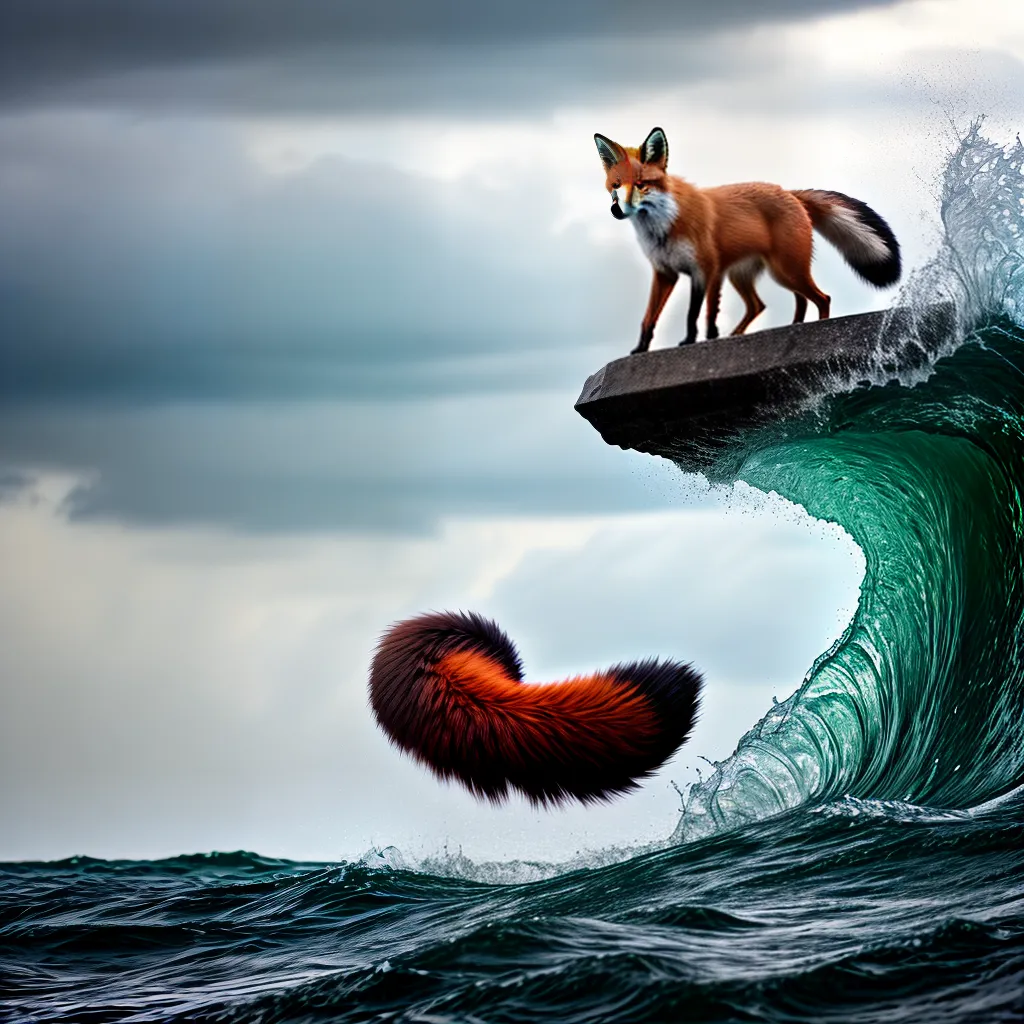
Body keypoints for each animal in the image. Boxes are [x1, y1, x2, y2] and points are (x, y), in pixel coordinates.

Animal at [594, 127, 902, 353]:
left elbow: (695, 313)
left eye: (641, 185)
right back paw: (764, 331)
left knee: (821, 298)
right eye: (615, 186)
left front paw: (689, 341)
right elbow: (649, 318)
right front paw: (640, 349)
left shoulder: (703, 270)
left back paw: (812, 329)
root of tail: (788, 192)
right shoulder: (665, 273)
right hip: (751, 275)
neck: (662, 229)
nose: (616, 210)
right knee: (766, 304)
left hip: (786, 270)